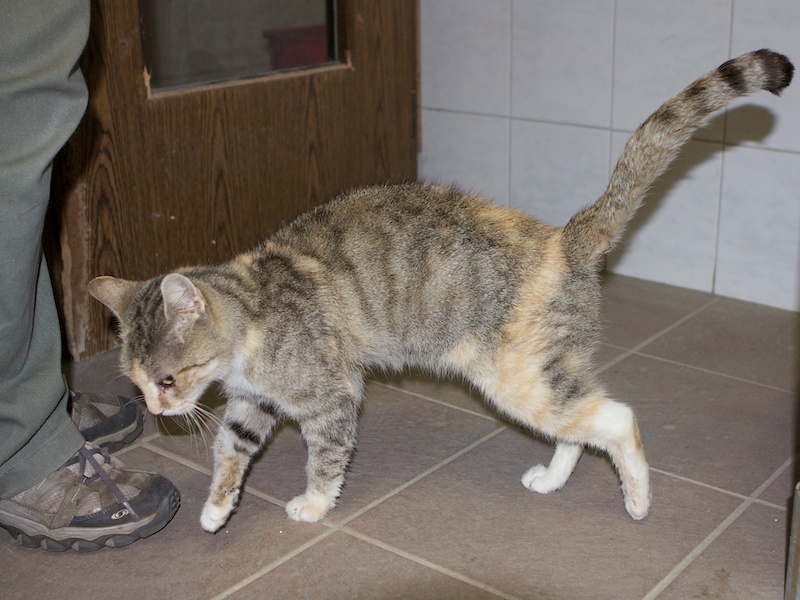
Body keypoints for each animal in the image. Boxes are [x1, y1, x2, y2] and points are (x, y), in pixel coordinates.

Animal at [89, 50, 793, 533]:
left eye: (169, 380)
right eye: (139, 383)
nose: (157, 412)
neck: (253, 312)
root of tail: (564, 237)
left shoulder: (330, 396)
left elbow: (325, 459)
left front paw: (312, 505)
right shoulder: (253, 404)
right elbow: (231, 452)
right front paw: (215, 510)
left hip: (517, 379)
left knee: (617, 419)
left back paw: (639, 500)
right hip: (550, 373)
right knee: (580, 423)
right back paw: (552, 480)